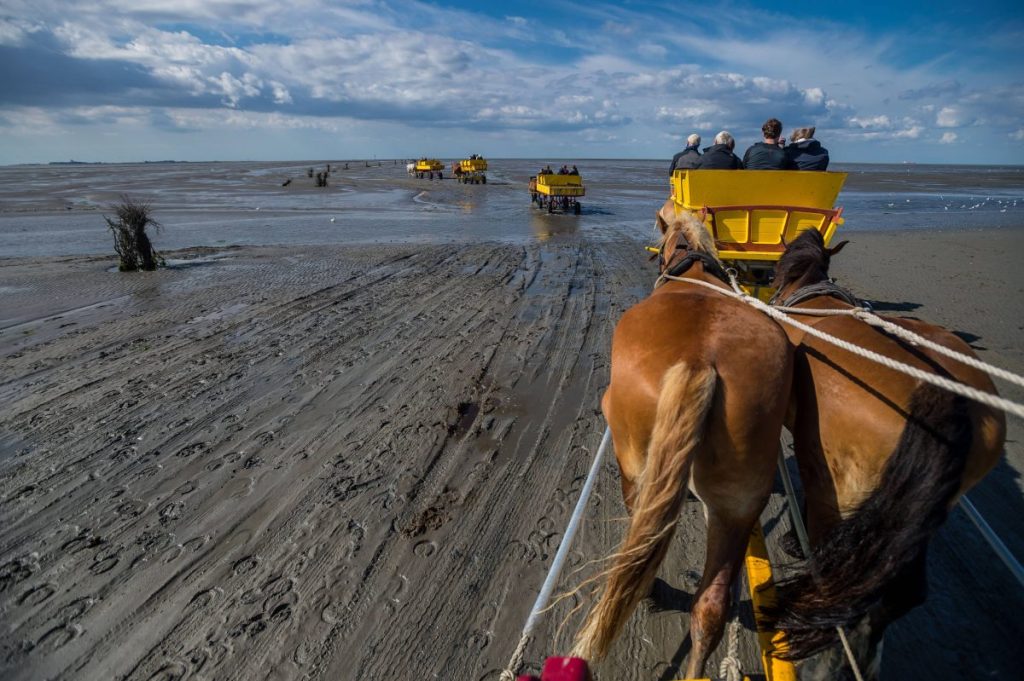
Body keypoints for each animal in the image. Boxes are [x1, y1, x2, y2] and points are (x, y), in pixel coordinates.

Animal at [573, 199, 794, 675]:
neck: (693, 270)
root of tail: (699, 362)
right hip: (738, 499)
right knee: (709, 607)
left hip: (635, 466)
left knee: (641, 541)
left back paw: (647, 590)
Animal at [765, 227, 1003, 675]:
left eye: (775, 271)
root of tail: (937, 389)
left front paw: (791, 539)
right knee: (900, 592)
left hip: (837, 487)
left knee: (832, 573)